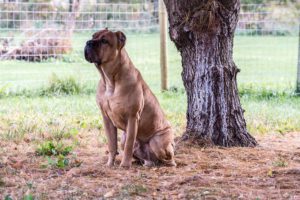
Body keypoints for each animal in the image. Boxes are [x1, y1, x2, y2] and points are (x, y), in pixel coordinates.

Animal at [83, 28, 176, 168]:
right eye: (93, 36)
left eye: (104, 41)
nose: (88, 42)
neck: (110, 80)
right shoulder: (106, 119)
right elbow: (111, 144)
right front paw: (109, 164)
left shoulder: (132, 117)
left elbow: (129, 145)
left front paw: (124, 165)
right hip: (124, 136)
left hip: (158, 141)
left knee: (168, 157)